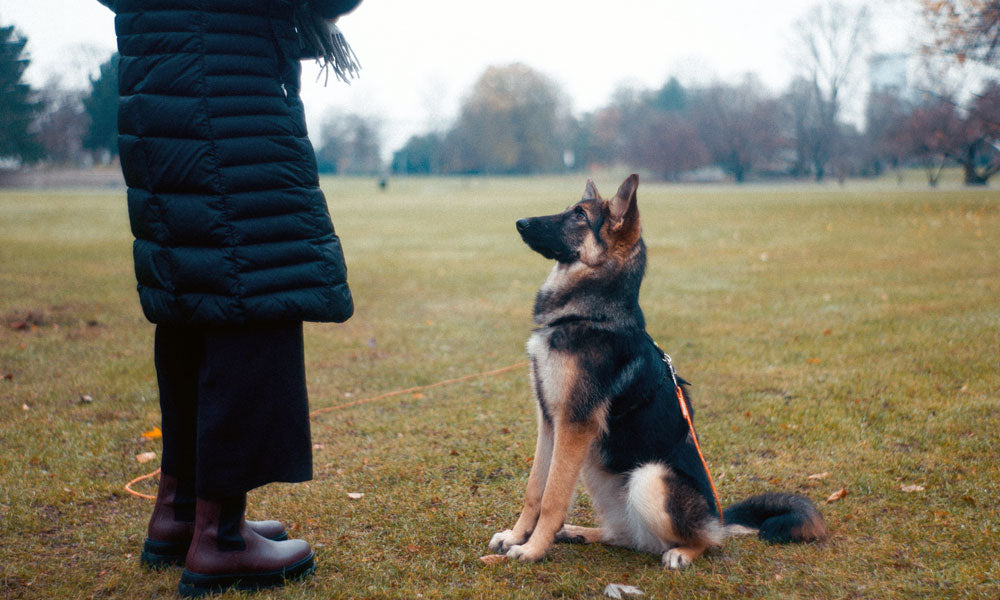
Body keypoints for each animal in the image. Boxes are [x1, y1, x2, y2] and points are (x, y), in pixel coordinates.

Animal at [488, 176, 824, 568]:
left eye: (579, 215)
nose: (520, 222)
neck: (590, 314)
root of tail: (717, 518)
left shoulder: (574, 425)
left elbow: (552, 498)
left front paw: (531, 549)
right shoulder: (550, 422)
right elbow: (535, 490)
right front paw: (516, 536)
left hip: (649, 477)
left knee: (707, 541)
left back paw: (682, 552)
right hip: (596, 468)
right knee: (625, 535)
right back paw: (579, 532)